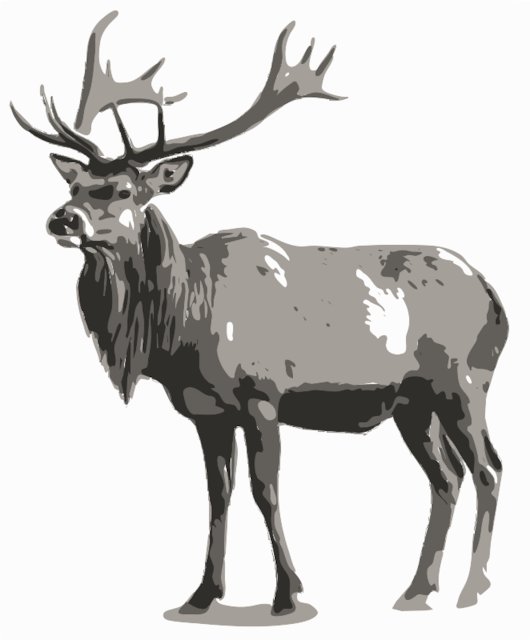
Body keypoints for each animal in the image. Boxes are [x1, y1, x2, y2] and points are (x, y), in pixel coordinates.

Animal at [11, 10, 508, 616]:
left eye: (125, 189)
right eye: (75, 183)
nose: (62, 219)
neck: (179, 327)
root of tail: (495, 297)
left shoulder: (262, 395)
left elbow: (264, 491)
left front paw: (287, 594)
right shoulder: (206, 411)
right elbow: (217, 495)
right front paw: (202, 594)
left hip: (466, 381)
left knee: (488, 468)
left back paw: (471, 590)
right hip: (414, 402)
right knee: (446, 477)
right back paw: (416, 590)